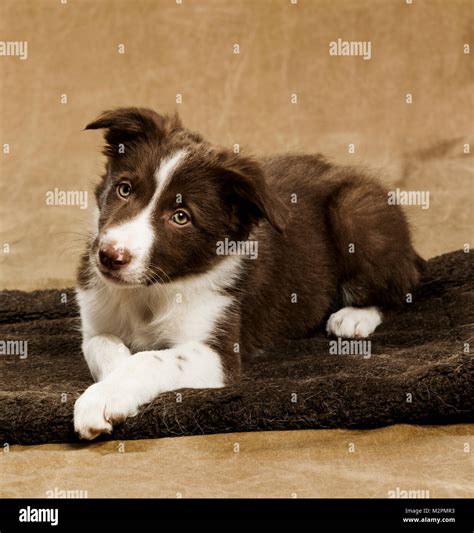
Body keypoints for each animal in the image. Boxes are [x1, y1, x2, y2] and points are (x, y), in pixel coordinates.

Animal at [74, 106, 422, 438]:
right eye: (124, 189)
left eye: (181, 216)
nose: (109, 257)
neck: (149, 290)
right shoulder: (95, 320)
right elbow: (102, 343)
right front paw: (112, 381)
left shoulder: (218, 353)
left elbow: (149, 359)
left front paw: (102, 398)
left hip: (354, 211)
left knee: (403, 286)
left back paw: (354, 316)